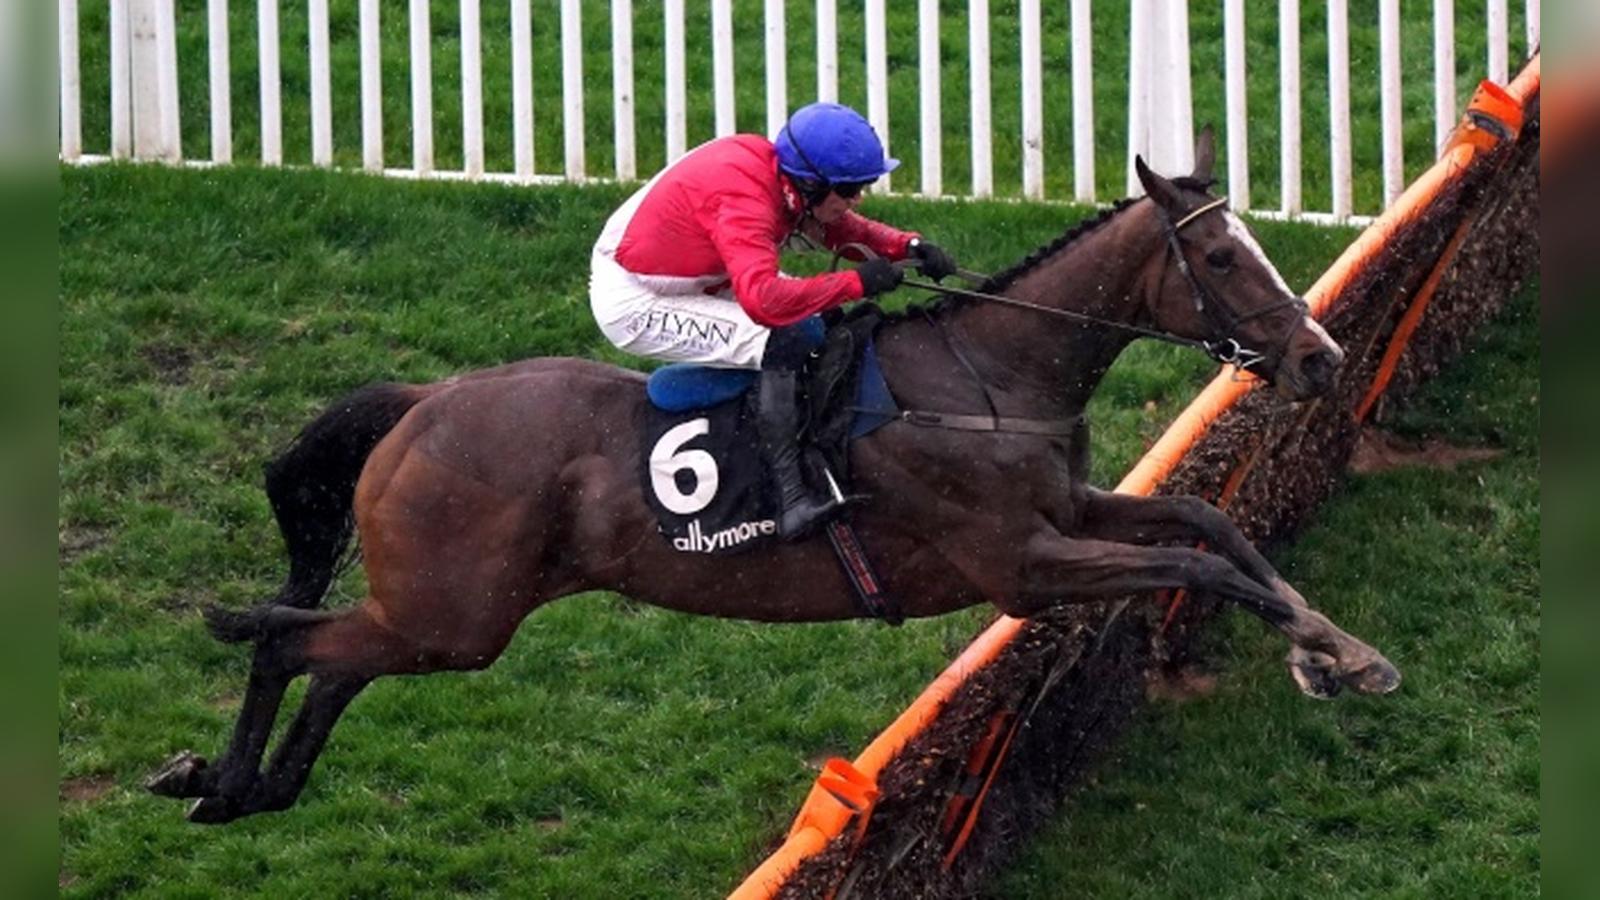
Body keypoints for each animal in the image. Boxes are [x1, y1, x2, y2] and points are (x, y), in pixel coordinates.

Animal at [148, 131, 1399, 825]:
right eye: (1224, 256)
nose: (1318, 357)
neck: (988, 373)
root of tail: (424, 401)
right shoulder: (1022, 564)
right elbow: (1198, 557)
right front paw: (1325, 652)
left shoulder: (1070, 510)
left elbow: (1204, 523)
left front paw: (1335, 649)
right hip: (456, 615)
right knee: (288, 644)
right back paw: (216, 782)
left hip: (443, 615)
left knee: (335, 664)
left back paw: (253, 787)